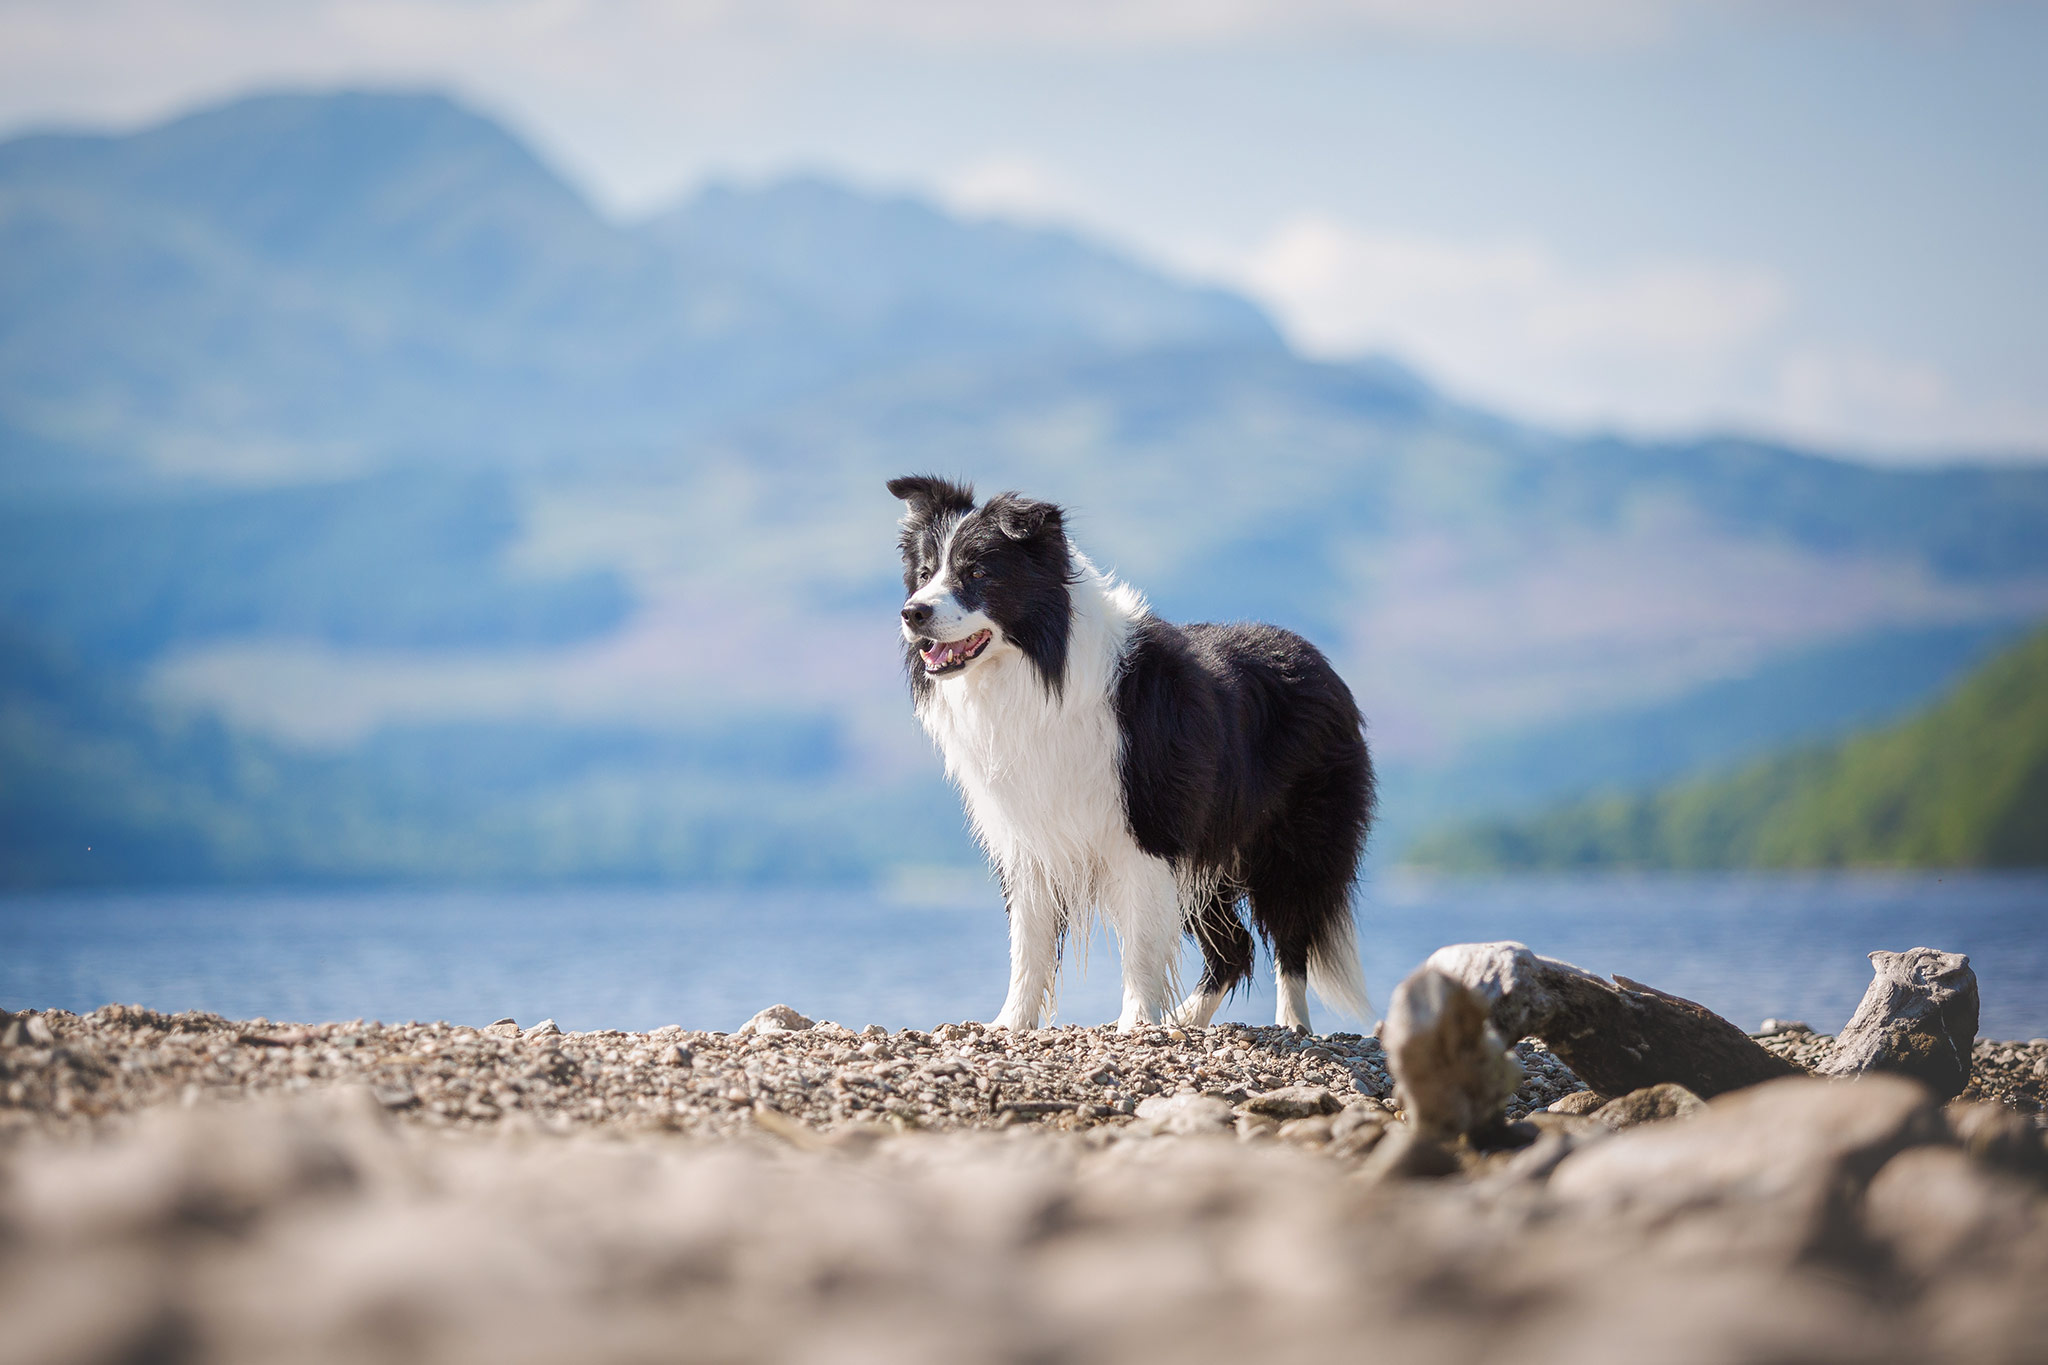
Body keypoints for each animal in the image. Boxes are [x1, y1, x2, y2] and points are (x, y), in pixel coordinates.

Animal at [892, 474, 1376, 1031]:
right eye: (924, 574)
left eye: (977, 573)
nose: (913, 612)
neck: (1037, 669)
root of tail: (1318, 660)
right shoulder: (1029, 838)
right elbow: (1028, 942)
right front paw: (1008, 1025)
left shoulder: (1148, 832)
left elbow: (1140, 943)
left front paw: (1137, 1023)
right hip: (1208, 852)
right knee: (1235, 947)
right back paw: (1187, 1019)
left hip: (1294, 840)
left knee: (1291, 939)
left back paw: (1291, 1023)